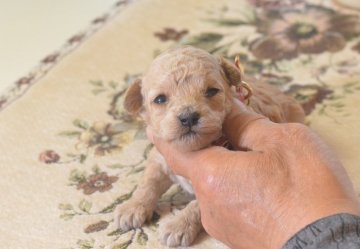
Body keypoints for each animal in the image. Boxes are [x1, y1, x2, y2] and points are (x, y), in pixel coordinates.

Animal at [114, 46, 304, 247]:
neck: (193, 149)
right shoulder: (160, 157)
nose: (188, 117)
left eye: (212, 91)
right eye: (160, 99)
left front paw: (178, 225)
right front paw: (132, 207)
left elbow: (196, 206)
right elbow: (148, 182)